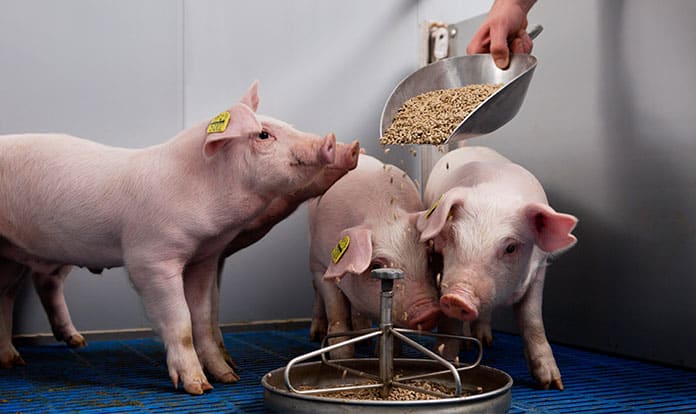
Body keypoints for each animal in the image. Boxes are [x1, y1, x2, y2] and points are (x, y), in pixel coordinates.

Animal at [0, 81, 340, 394]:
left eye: (288, 125)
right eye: (264, 135)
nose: (330, 140)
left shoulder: (204, 258)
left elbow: (202, 319)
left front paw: (228, 377)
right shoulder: (151, 258)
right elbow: (181, 323)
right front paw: (198, 387)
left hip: (16, 255)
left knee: (17, 292)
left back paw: (31, 355)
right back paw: (20, 359)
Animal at [308, 154, 441, 358]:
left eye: (429, 259)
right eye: (376, 266)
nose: (429, 311)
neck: (382, 214)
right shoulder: (322, 266)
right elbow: (336, 310)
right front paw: (343, 357)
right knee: (317, 295)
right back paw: (316, 335)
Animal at [417, 146, 577, 390]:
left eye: (511, 248)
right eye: (453, 236)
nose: (457, 297)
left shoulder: (539, 269)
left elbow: (532, 320)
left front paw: (553, 384)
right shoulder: (439, 261)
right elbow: (449, 322)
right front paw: (447, 362)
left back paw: (486, 341)